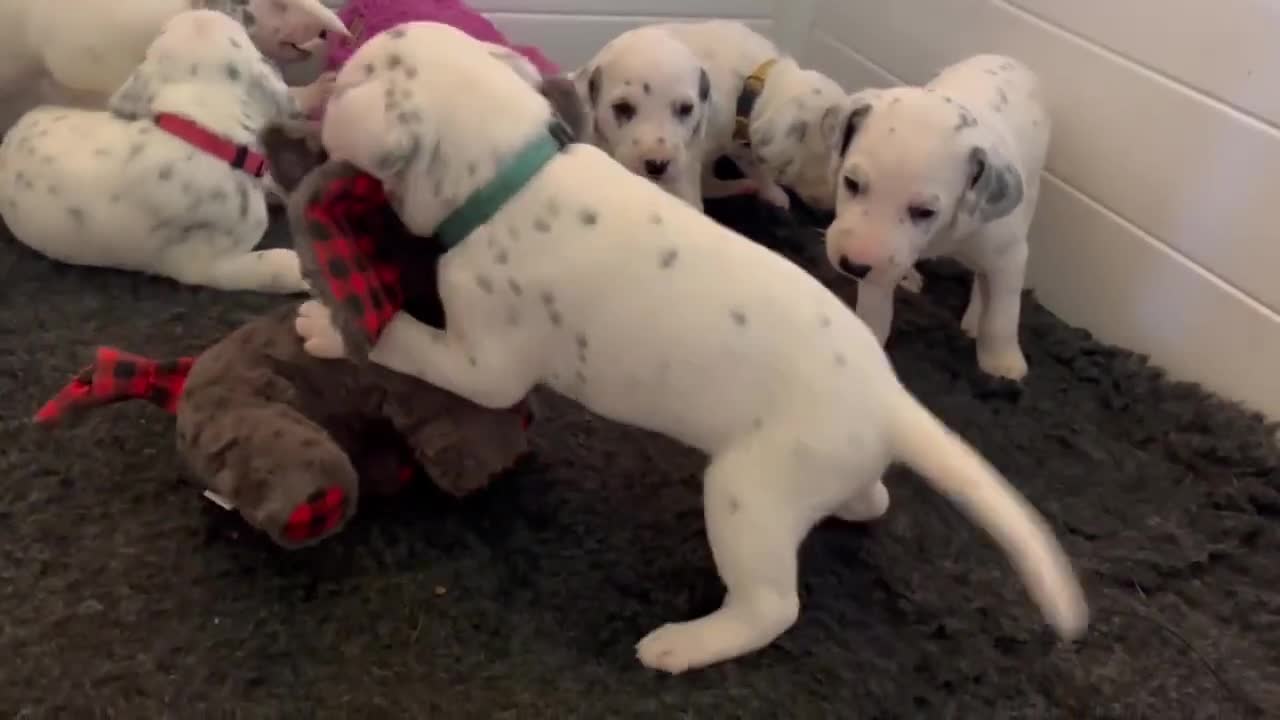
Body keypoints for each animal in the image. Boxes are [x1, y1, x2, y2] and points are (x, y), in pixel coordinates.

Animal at [819, 55, 1049, 379]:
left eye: (925, 212)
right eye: (851, 183)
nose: (853, 265)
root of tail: (1007, 58)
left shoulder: (1009, 255)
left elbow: (1002, 315)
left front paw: (1002, 364)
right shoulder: (881, 267)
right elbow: (876, 308)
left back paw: (975, 317)